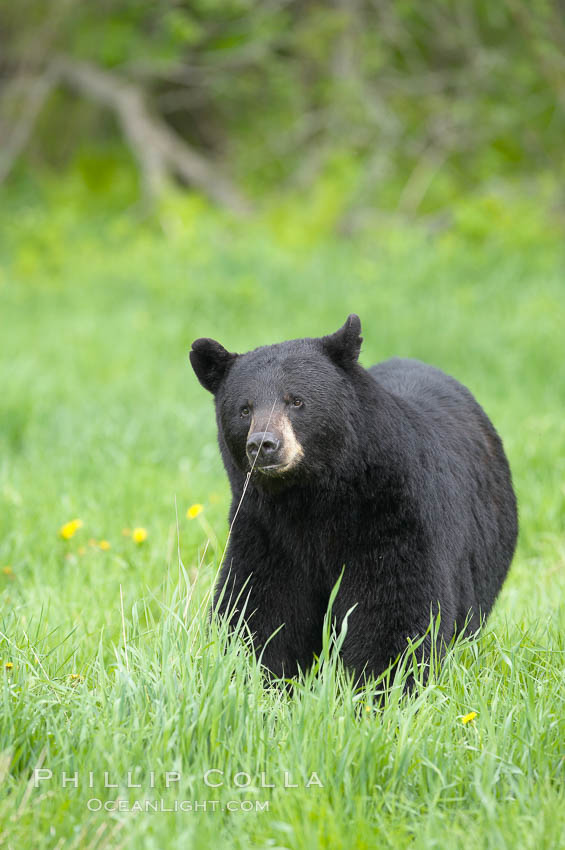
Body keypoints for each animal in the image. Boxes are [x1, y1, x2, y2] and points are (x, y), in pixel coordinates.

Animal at [189, 314, 516, 680]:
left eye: (297, 400)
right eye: (244, 409)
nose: (263, 444)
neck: (311, 497)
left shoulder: (394, 515)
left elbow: (395, 608)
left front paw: (382, 685)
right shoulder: (264, 529)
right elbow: (260, 607)